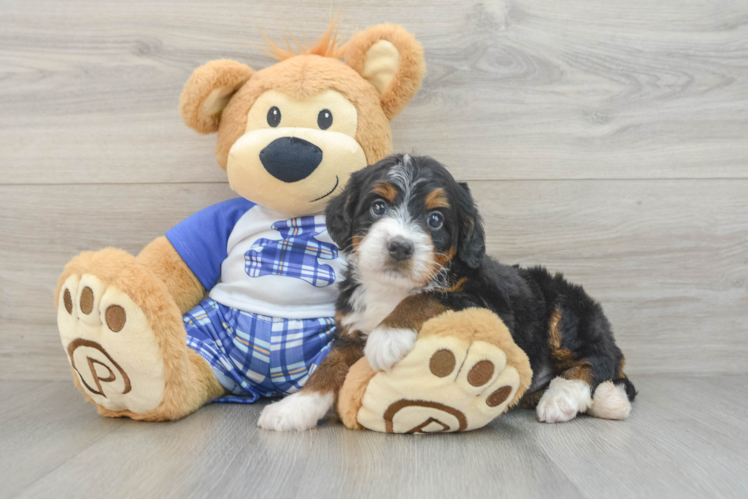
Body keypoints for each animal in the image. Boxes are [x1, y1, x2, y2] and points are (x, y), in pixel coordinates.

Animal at [258, 153, 636, 430]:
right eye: (378, 207)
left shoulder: (486, 302)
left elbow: (426, 296)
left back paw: (569, 398)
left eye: (436, 219)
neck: (392, 287)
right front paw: (292, 409)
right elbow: (327, 368)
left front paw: (388, 337)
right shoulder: (350, 327)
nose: (399, 247)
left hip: (566, 309)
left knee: (603, 357)